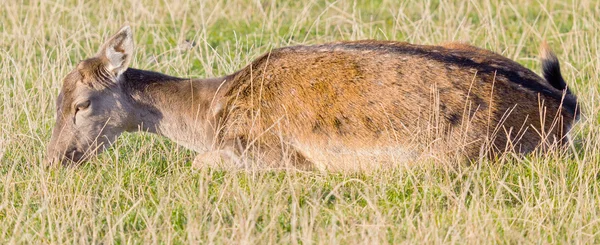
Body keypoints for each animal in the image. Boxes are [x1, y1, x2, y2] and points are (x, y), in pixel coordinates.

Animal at [44, 25, 580, 170]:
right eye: (56, 100)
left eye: (81, 104)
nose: (54, 159)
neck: (210, 114)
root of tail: (565, 108)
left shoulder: (267, 151)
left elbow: (199, 164)